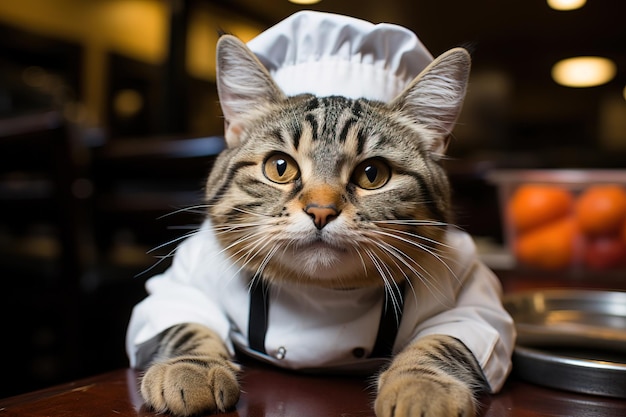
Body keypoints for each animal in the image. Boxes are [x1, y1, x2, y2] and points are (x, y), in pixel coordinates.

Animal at [128, 33, 512, 416]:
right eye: (279, 167)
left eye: (372, 174)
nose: (321, 211)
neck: (320, 300)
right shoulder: (183, 280)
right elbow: (185, 322)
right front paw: (190, 368)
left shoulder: (472, 296)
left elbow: (445, 340)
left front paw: (423, 386)